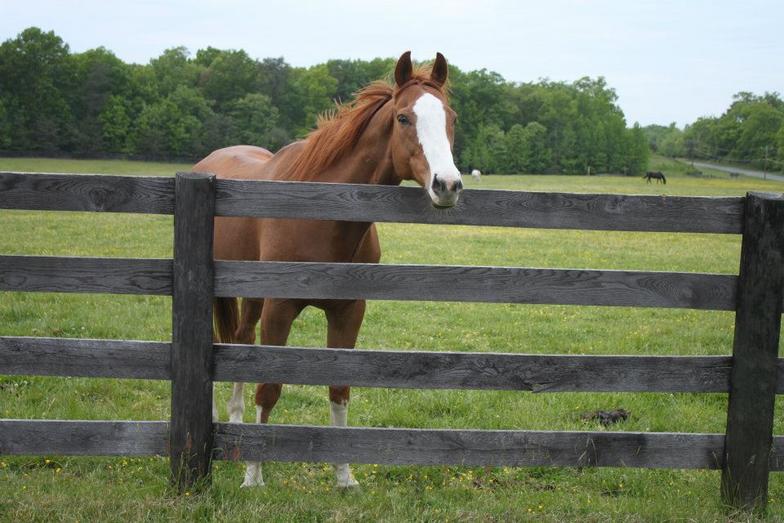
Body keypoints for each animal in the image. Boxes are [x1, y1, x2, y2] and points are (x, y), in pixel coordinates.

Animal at [195, 51, 462, 490]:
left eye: (450, 117)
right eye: (404, 118)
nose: (448, 185)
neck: (323, 213)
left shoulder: (348, 310)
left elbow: (339, 389)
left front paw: (344, 474)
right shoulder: (280, 308)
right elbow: (268, 388)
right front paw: (254, 474)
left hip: (252, 296)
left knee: (242, 338)